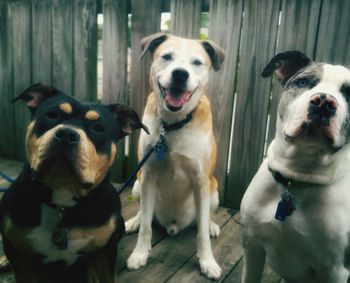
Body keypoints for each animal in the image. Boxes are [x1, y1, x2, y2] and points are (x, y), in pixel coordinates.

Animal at [125, 32, 224, 280]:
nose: (180, 73)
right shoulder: (148, 175)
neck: (172, 124)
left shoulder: (201, 181)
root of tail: (172, 225)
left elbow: (201, 234)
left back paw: (211, 225)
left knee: (205, 217)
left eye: (197, 62)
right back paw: (134, 220)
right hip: (137, 185)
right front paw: (139, 253)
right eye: (167, 56)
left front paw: (207, 261)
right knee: (144, 212)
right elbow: (146, 227)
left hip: (214, 190)